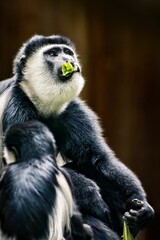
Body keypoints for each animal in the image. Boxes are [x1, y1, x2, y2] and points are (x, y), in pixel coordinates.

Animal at [0, 34, 154, 239]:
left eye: (67, 52)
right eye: (53, 53)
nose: (69, 60)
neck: (38, 102)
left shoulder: (73, 111)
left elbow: (97, 158)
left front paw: (140, 208)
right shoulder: (16, 109)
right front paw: (91, 194)